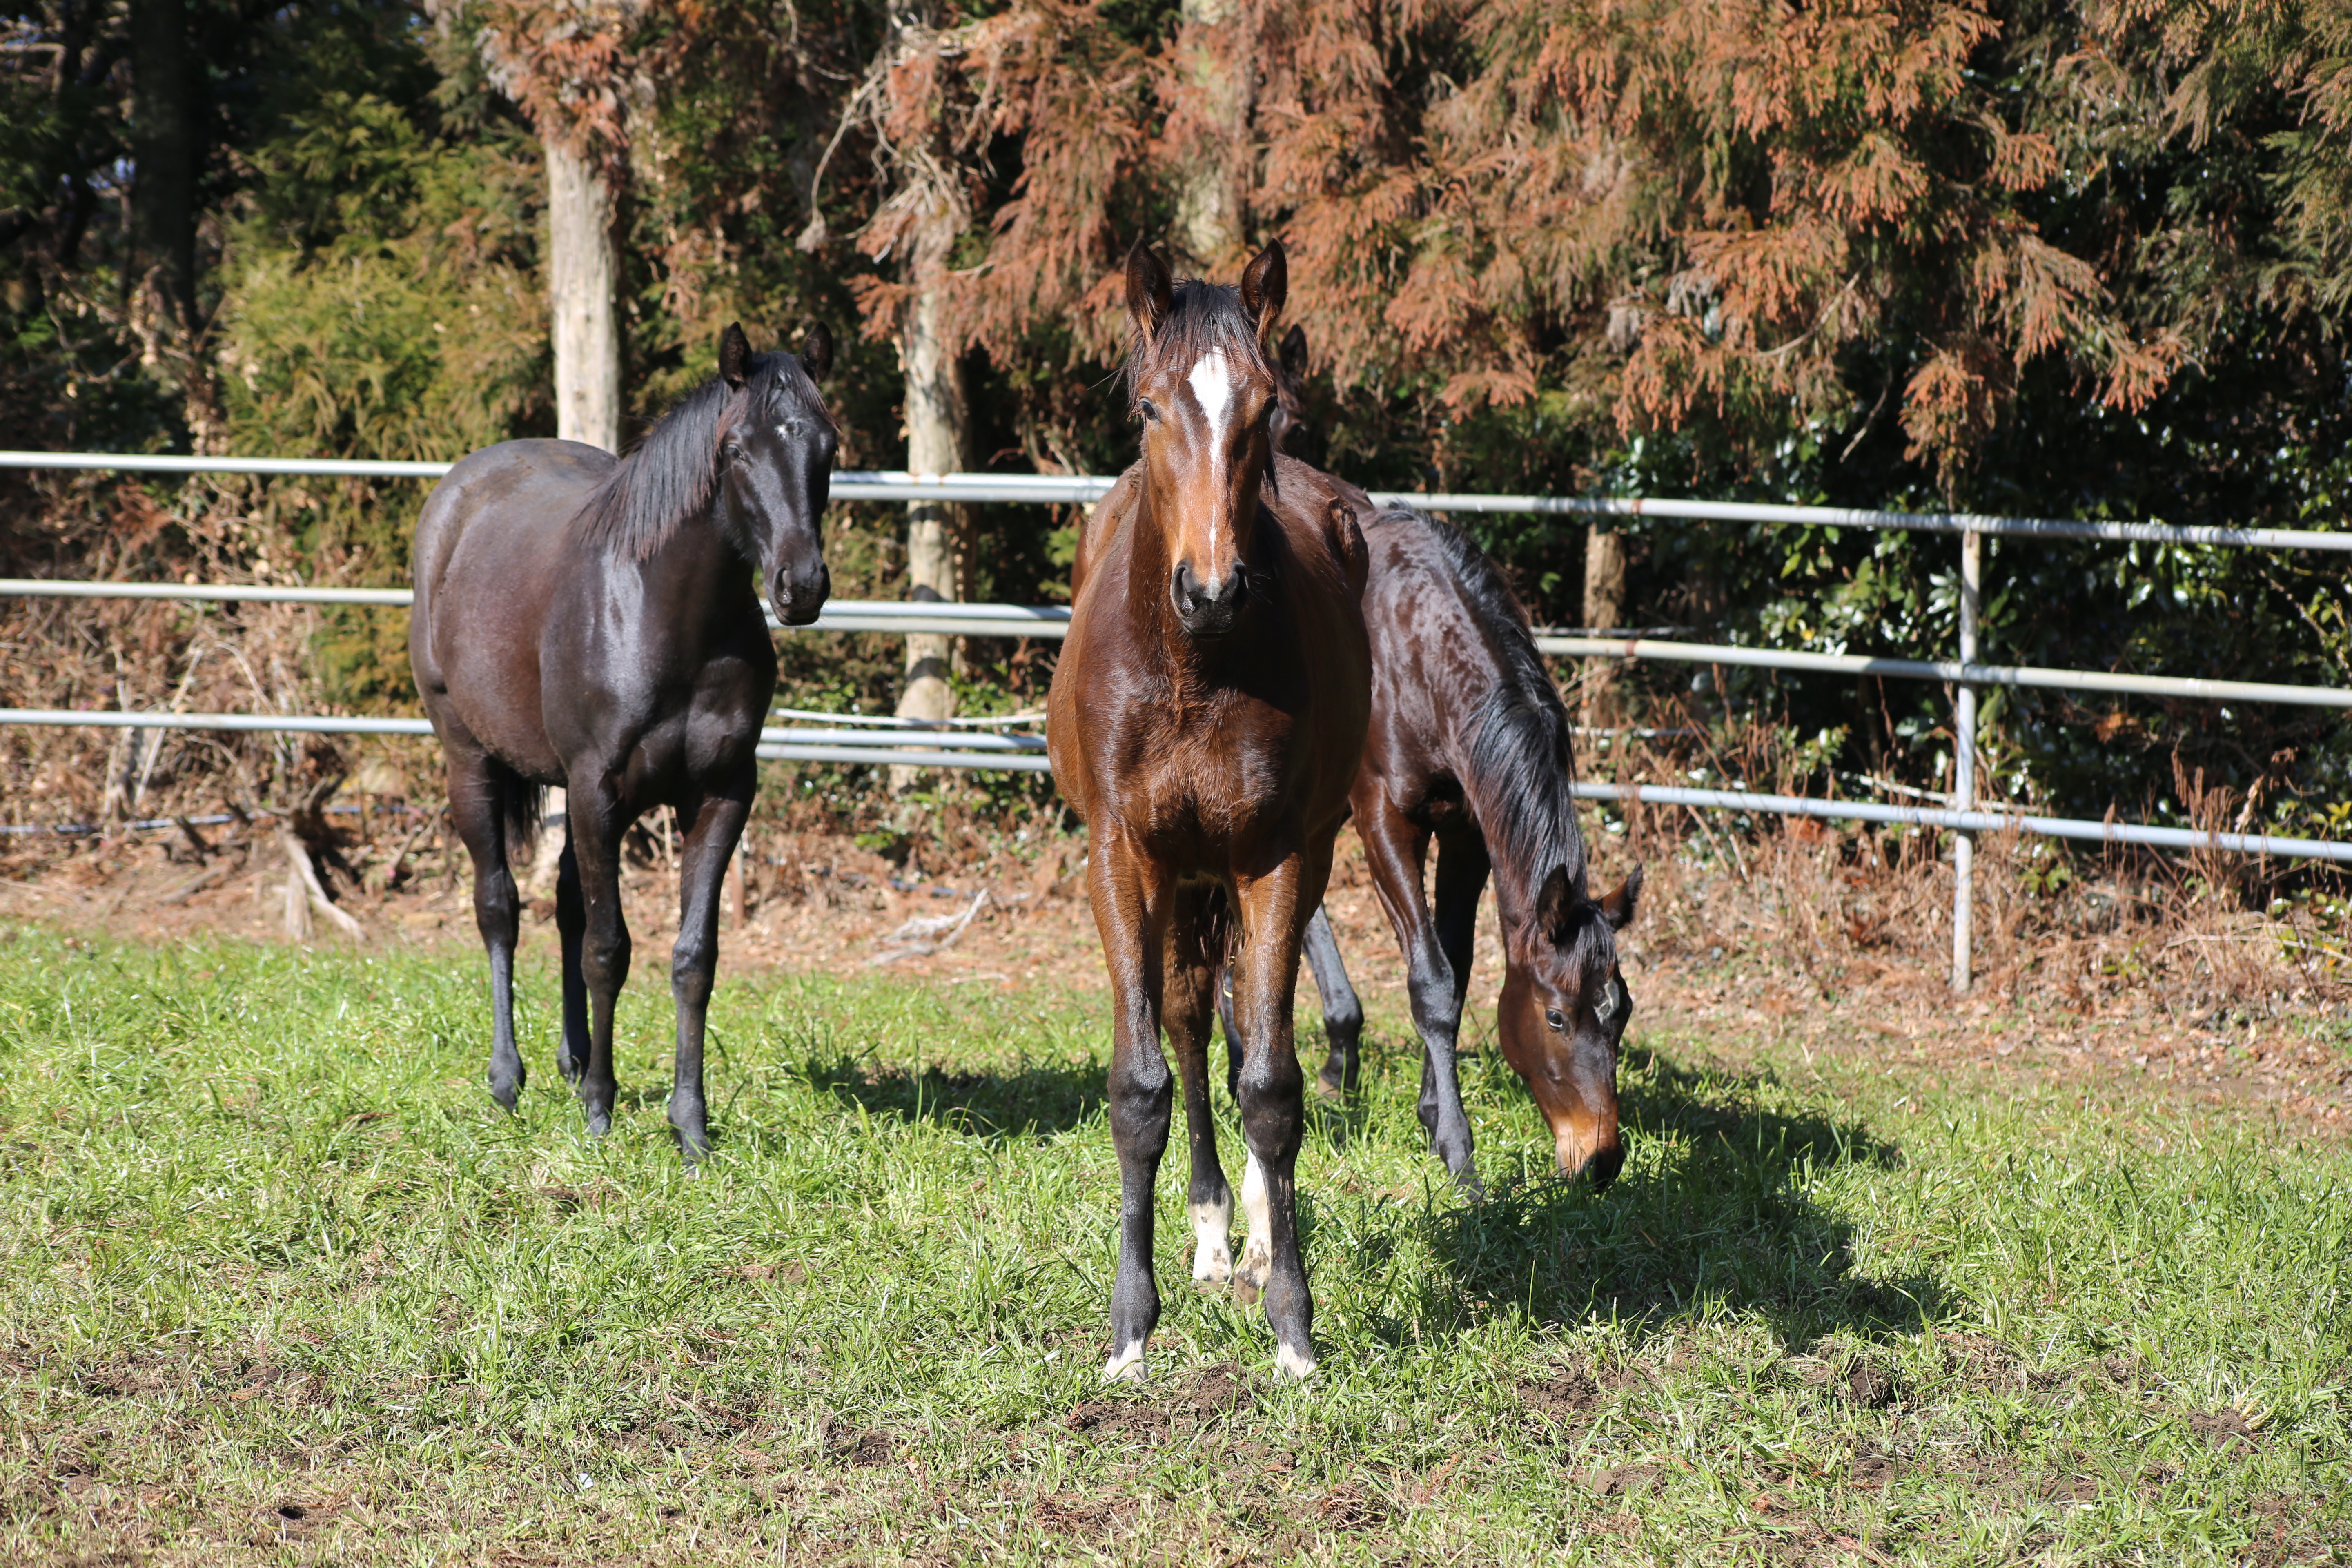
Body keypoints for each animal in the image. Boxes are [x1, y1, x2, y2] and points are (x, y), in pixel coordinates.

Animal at [412, 324, 837, 1161]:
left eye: (829, 445)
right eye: (736, 449)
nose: (800, 585)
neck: (664, 614)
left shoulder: (721, 795)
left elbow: (692, 958)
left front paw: (691, 1127)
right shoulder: (598, 791)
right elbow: (609, 950)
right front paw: (602, 1114)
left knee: (566, 907)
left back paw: (574, 1061)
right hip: (470, 761)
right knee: (499, 906)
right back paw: (509, 1080)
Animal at [1054, 240, 1373, 1382]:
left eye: (1266, 411)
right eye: (1149, 408)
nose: (1213, 588)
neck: (1191, 671)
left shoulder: (1274, 860)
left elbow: (1273, 1085)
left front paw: (1293, 1324)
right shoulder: (1121, 860)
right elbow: (1141, 1086)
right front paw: (1128, 1328)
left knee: (1236, 1034)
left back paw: (1254, 1241)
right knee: (1192, 1026)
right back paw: (1206, 1235)